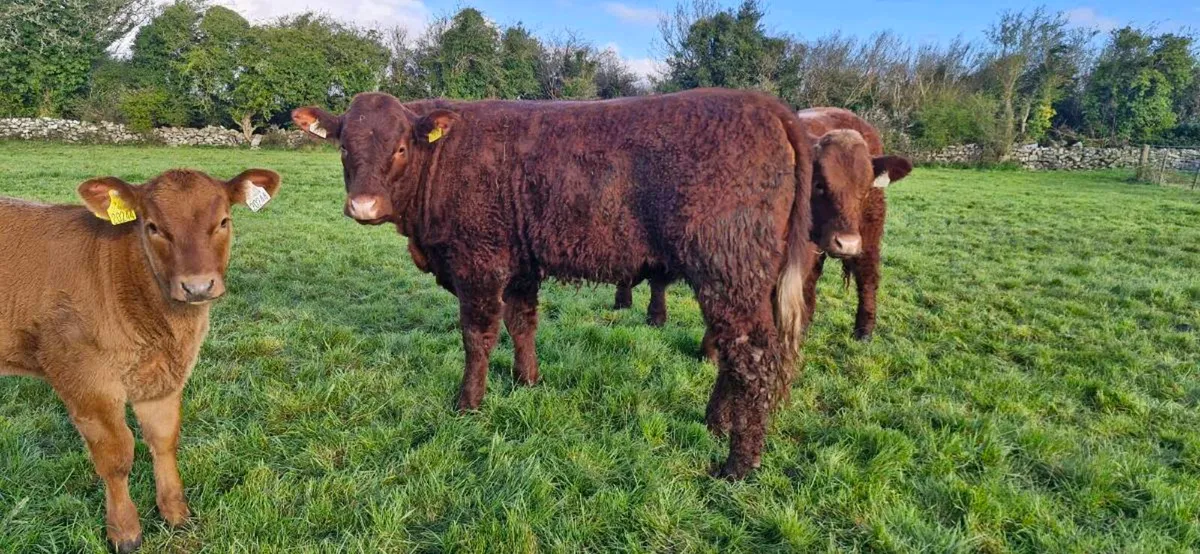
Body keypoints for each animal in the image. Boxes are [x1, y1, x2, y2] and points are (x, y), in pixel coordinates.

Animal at [0, 168, 281, 552]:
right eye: (152, 227)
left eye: (224, 221)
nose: (197, 287)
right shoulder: (87, 383)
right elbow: (117, 456)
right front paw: (125, 532)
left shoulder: (162, 379)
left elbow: (163, 440)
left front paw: (176, 514)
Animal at [293, 88, 814, 478]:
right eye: (344, 147)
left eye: (400, 148)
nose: (363, 206)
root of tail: (768, 106)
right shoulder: (520, 265)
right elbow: (522, 323)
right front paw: (528, 381)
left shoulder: (477, 262)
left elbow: (477, 336)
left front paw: (468, 404)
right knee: (733, 350)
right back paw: (715, 423)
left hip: (728, 270)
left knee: (752, 357)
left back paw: (737, 464)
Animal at [614, 107, 912, 344]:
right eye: (819, 184)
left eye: (863, 188)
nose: (845, 242)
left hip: (868, 232)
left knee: (867, 276)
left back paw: (863, 331)